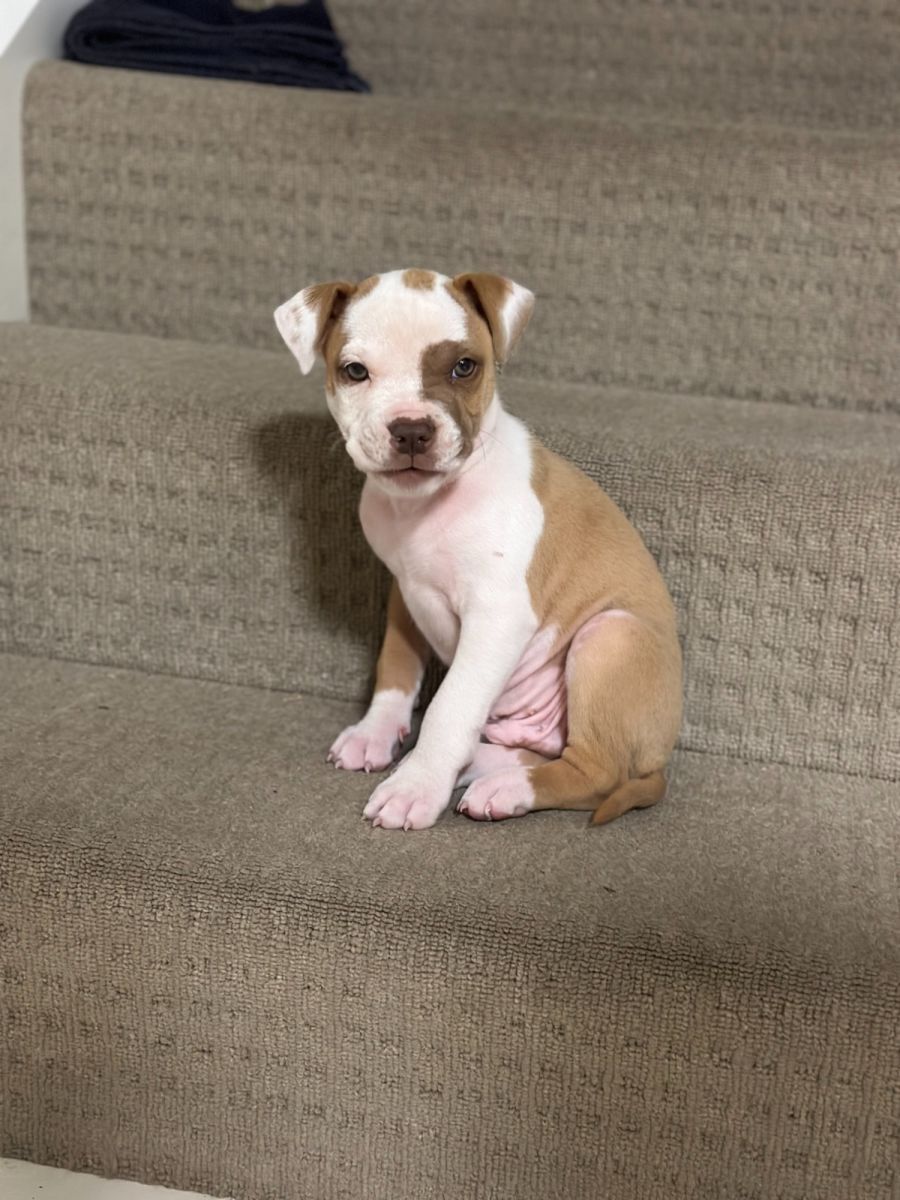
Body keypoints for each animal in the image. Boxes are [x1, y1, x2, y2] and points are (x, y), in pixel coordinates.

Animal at [275, 269, 682, 830]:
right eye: (355, 371)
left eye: (463, 366)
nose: (411, 430)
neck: (423, 507)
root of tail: (659, 761)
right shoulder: (404, 591)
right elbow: (395, 665)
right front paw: (375, 732)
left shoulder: (497, 617)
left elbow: (450, 706)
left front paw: (416, 786)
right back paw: (482, 765)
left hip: (610, 634)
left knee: (596, 771)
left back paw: (506, 788)